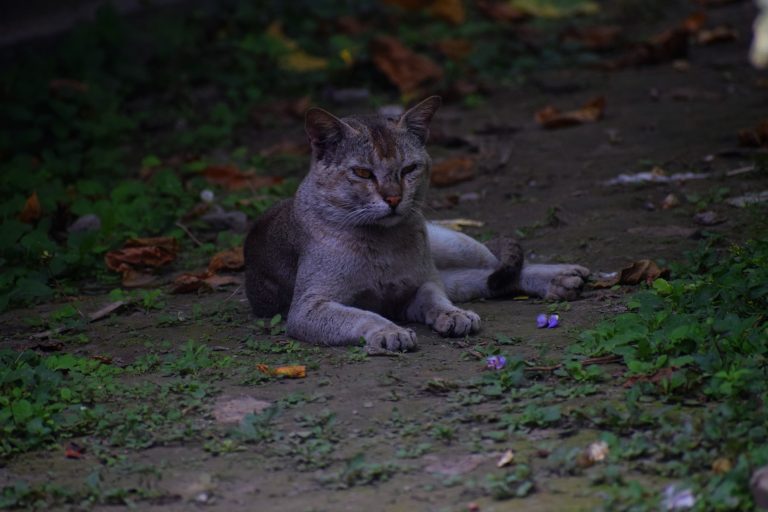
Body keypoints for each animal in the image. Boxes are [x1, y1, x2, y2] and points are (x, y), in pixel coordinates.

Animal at [246, 96, 588, 352]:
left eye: (409, 169)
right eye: (363, 173)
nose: (394, 199)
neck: (383, 243)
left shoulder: (423, 282)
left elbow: (435, 298)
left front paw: (453, 315)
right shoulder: (308, 307)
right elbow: (359, 314)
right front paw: (389, 332)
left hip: (452, 245)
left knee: (494, 267)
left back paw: (565, 275)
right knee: (486, 279)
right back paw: (562, 283)